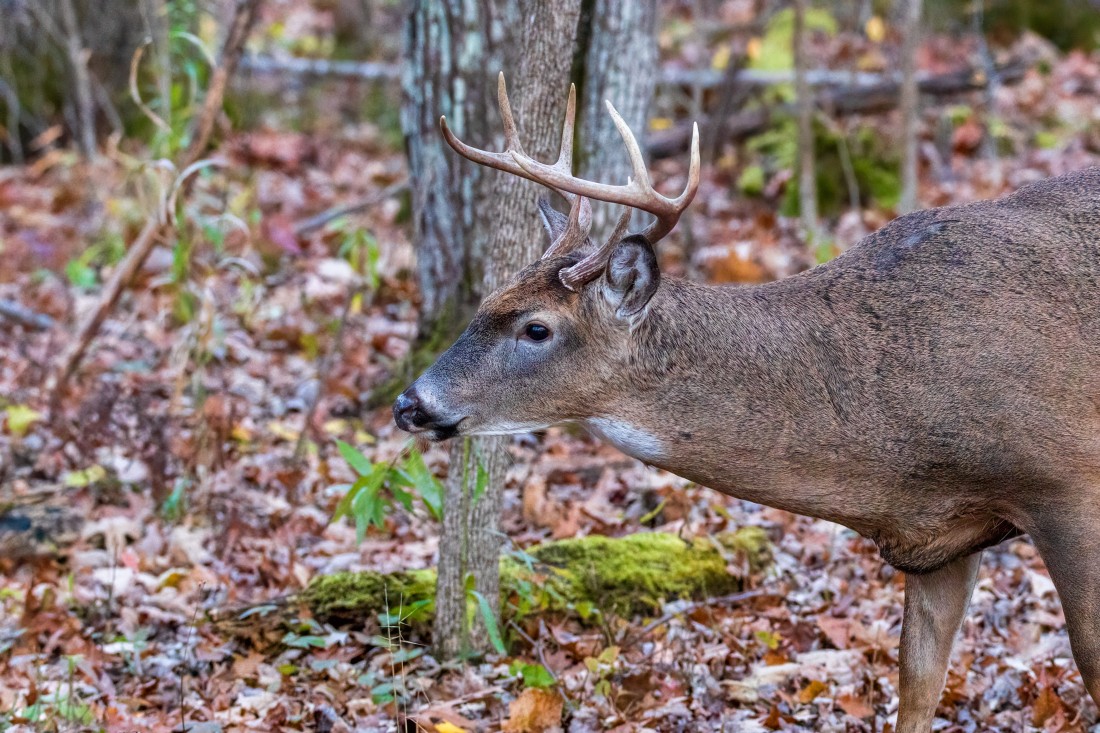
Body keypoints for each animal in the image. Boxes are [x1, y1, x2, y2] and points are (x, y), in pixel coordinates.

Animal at [396, 72, 1100, 726]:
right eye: (485, 302)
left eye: (536, 328)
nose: (410, 403)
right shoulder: (938, 537)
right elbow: (918, 684)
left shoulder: (1068, 485)